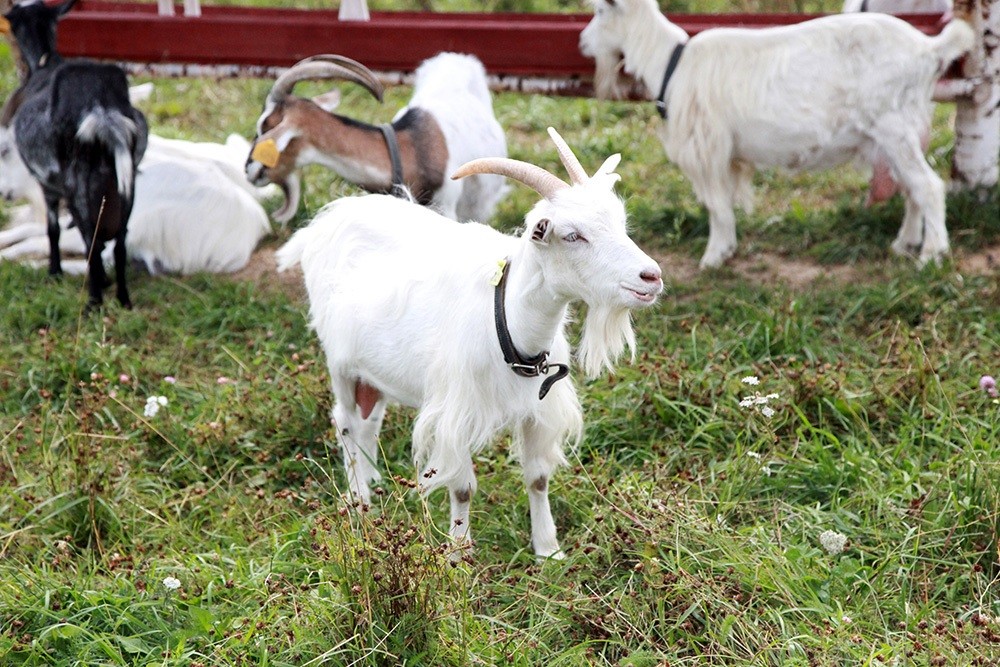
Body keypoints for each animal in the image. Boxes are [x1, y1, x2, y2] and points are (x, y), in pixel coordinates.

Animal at [0, 0, 147, 308]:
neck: (45, 63)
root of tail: (102, 111)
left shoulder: (46, 185)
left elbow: (53, 229)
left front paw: (54, 272)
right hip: (125, 185)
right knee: (118, 242)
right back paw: (122, 298)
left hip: (76, 184)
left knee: (91, 239)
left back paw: (93, 301)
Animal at [0, 124, 270, 276]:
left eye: (7, 150)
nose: (4, 192)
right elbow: (33, 230)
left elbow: (37, 240)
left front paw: (11, 258)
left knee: (106, 262)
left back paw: (36, 268)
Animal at [276, 125, 664, 560]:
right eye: (572, 235)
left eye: (621, 222)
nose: (651, 276)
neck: (507, 321)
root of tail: (326, 219)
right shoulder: (456, 413)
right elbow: (462, 488)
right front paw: (457, 554)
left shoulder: (538, 410)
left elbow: (538, 478)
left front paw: (548, 550)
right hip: (340, 361)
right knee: (345, 422)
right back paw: (360, 503)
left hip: (374, 368)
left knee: (369, 419)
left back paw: (373, 482)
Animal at [584, 0, 972, 268]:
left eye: (601, 11)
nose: (583, 43)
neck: (670, 62)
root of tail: (928, 49)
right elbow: (724, 204)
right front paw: (725, 249)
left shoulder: (709, 147)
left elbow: (717, 206)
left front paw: (714, 256)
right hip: (898, 132)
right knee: (912, 188)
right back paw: (905, 243)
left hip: (893, 126)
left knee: (928, 186)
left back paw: (931, 254)